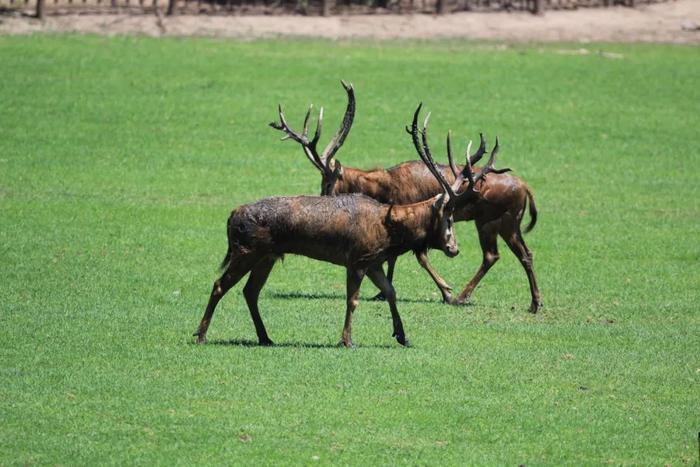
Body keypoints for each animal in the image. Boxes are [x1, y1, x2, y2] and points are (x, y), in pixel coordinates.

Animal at [191, 105, 498, 348]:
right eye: (448, 216)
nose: (454, 248)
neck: (389, 232)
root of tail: (231, 216)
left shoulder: (374, 262)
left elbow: (391, 292)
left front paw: (402, 335)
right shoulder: (357, 259)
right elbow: (352, 300)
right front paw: (346, 340)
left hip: (267, 256)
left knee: (250, 291)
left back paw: (265, 337)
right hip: (246, 251)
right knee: (219, 285)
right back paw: (201, 334)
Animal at [270, 82, 540, 314]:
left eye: (327, 182)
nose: (321, 202)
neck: (386, 187)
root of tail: (525, 187)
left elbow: (417, 256)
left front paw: (447, 292)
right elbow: (396, 256)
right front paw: (384, 291)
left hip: (491, 222)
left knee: (494, 255)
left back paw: (465, 296)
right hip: (506, 223)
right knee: (522, 254)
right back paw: (535, 302)